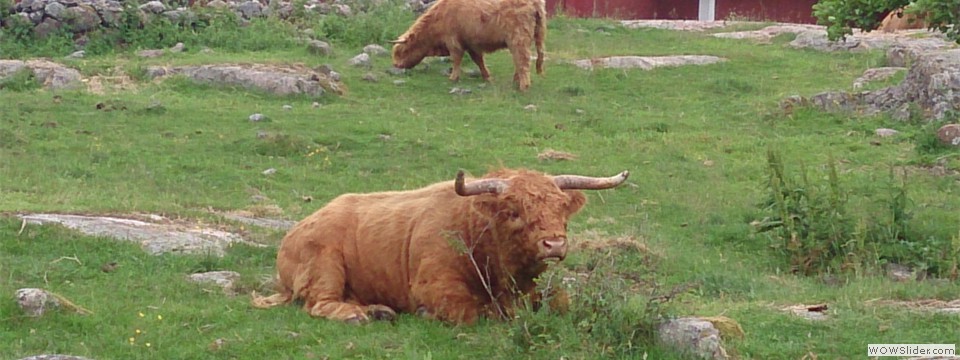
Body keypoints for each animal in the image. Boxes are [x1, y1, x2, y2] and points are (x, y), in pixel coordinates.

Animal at [253, 168, 632, 324]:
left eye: (561, 209)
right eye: (513, 211)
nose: (554, 243)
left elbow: (560, 303)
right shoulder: (436, 285)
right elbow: (476, 313)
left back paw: (377, 310)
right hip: (325, 266)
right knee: (320, 303)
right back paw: (360, 315)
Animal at [386, 0, 544, 92]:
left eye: (400, 52)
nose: (396, 65)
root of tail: (534, 3)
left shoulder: (453, 41)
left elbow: (456, 59)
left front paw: (453, 78)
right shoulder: (471, 44)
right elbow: (478, 60)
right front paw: (487, 77)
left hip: (518, 39)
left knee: (522, 59)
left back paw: (523, 86)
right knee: (520, 60)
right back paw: (516, 82)